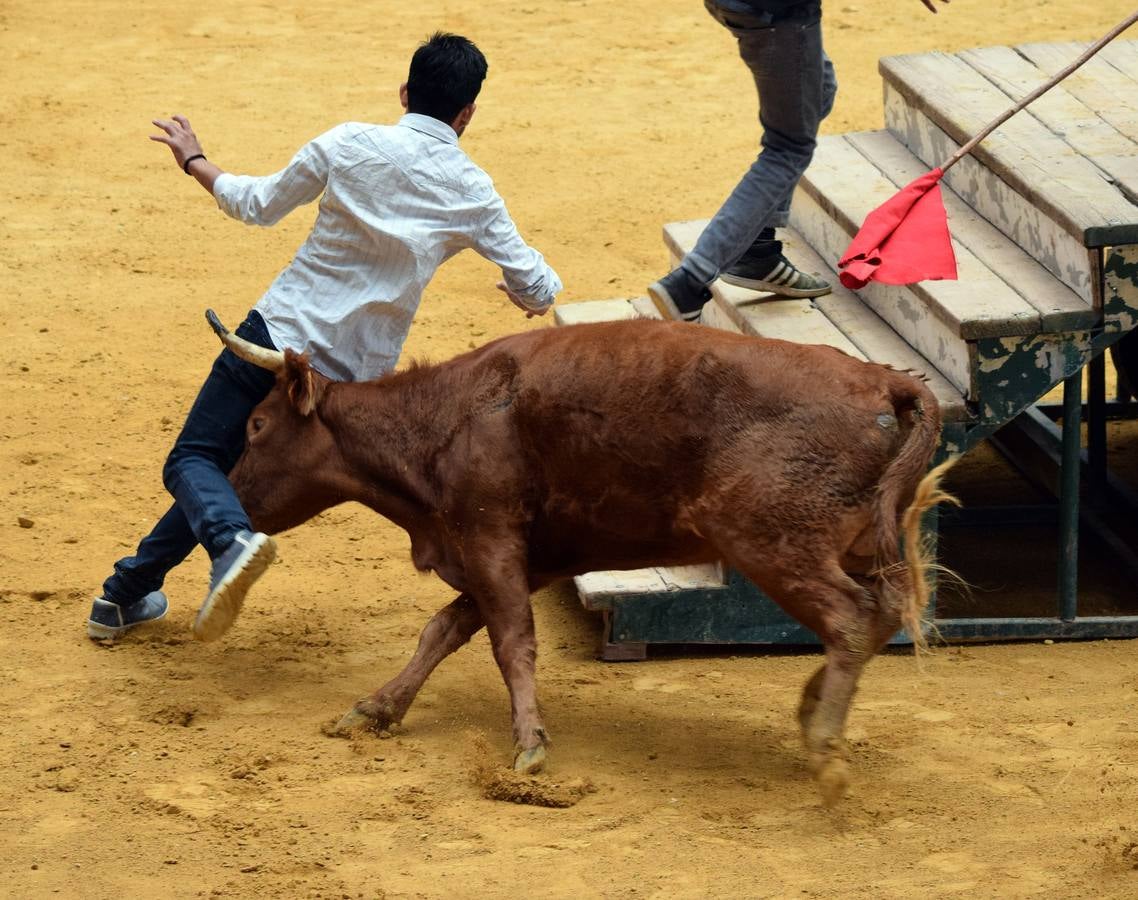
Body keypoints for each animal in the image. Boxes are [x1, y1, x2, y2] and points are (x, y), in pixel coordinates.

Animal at [204, 307, 951, 801]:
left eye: (257, 425)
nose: (228, 494)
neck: (444, 417)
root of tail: (883, 380)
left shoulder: (490, 537)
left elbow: (511, 641)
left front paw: (530, 745)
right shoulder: (531, 557)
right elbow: (444, 629)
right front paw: (377, 709)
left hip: (768, 537)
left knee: (851, 618)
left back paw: (824, 742)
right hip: (856, 541)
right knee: (882, 615)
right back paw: (817, 706)